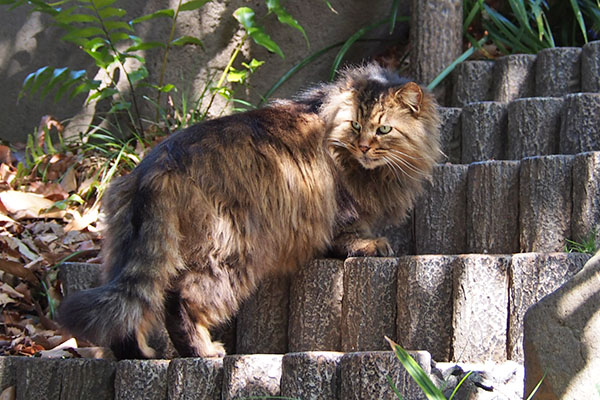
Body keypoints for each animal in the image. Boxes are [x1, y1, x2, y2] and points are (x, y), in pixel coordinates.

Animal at [57, 63, 440, 360]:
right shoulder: (343, 208)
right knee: (181, 301)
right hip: (230, 253)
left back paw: (138, 355)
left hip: (126, 247)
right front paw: (371, 244)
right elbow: (349, 235)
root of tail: (156, 164)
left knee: (128, 313)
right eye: (356, 126)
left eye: (383, 129)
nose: (363, 147)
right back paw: (203, 351)